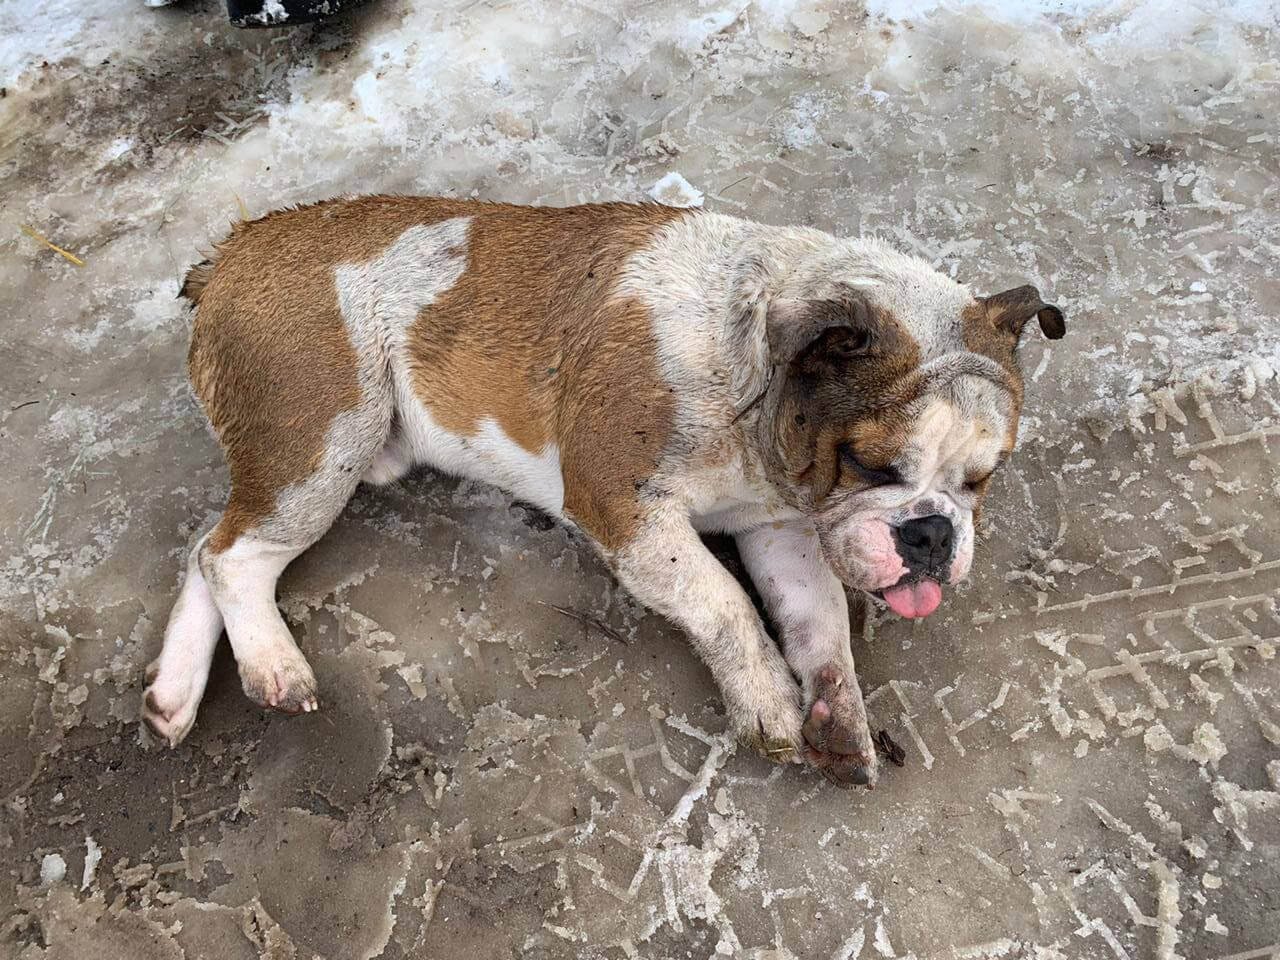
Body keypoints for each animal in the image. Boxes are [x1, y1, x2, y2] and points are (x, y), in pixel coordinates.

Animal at [142, 197, 1064, 787]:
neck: (750, 366)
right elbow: (725, 602)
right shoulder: (625, 509)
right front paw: (769, 701)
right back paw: (273, 666)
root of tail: (229, 255)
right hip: (324, 437)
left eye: (980, 480)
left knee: (209, 546)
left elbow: (816, 616)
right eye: (873, 467)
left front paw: (835, 711)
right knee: (232, 555)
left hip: (302, 457)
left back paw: (173, 696)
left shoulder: (779, 526)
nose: (932, 534)